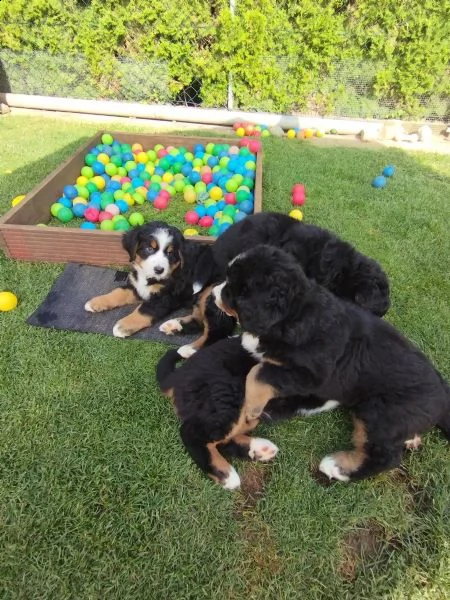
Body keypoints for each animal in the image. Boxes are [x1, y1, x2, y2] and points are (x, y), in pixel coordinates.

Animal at [84, 223, 223, 340]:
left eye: (170, 253)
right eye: (149, 249)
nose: (159, 270)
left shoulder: (164, 298)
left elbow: (143, 310)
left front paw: (123, 326)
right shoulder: (137, 287)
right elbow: (118, 292)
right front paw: (96, 302)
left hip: (211, 290)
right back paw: (173, 326)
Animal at [212, 244, 450, 482]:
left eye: (232, 290)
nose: (213, 292)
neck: (293, 315)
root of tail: (441, 396)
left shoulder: (308, 374)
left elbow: (258, 372)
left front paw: (251, 407)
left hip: (382, 412)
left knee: (385, 456)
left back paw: (337, 467)